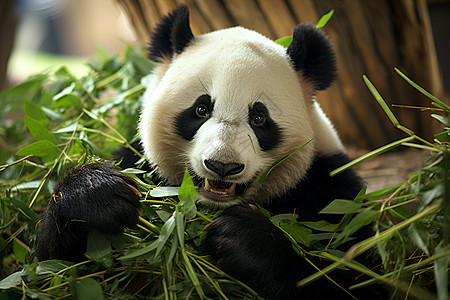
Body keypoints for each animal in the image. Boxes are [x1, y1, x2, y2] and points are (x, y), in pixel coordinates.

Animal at [35, 4, 382, 300]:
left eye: (259, 119)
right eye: (201, 109)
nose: (222, 166)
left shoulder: (330, 191)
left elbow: (356, 277)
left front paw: (244, 238)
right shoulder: (139, 163)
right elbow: (57, 271)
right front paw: (99, 195)